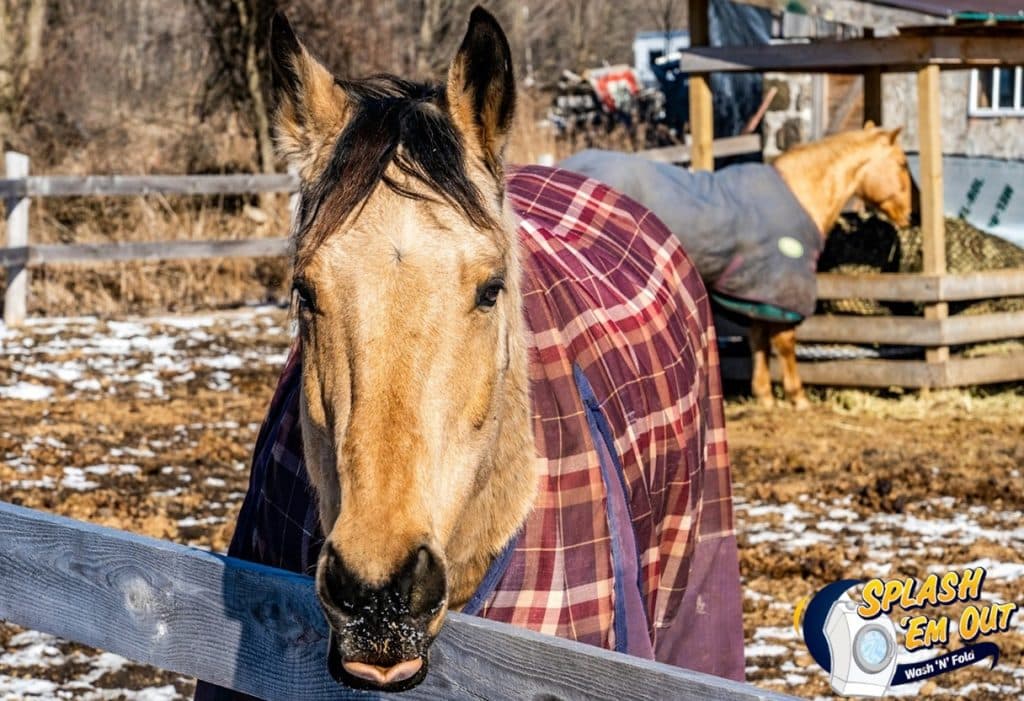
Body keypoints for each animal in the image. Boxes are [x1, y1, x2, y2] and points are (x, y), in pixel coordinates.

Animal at [561, 122, 913, 407]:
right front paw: (797, 396)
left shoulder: (758, 292)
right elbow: (785, 342)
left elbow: (757, 338)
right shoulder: (782, 286)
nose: (908, 215)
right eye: (901, 163)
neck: (800, 193)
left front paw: (765, 395)